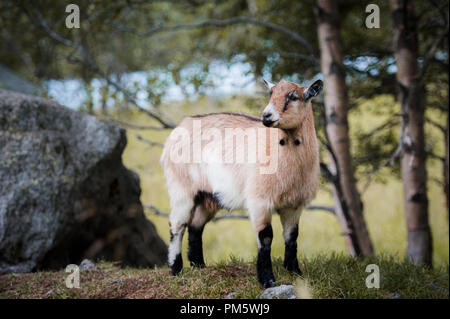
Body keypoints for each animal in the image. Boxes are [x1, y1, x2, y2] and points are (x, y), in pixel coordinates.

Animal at [162, 79, 324, 288]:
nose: (266, 116)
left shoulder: (295, 203)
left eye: (293, 97)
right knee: (177, 224)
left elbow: (292, 237)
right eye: (270, 93)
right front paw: (267, 280)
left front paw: (296, 273)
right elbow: (266, 237)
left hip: (208, 196)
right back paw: (176, 270)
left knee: (196, 226)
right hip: (181, 188)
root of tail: (179, 127)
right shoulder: (259, 200)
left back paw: (199, 267)